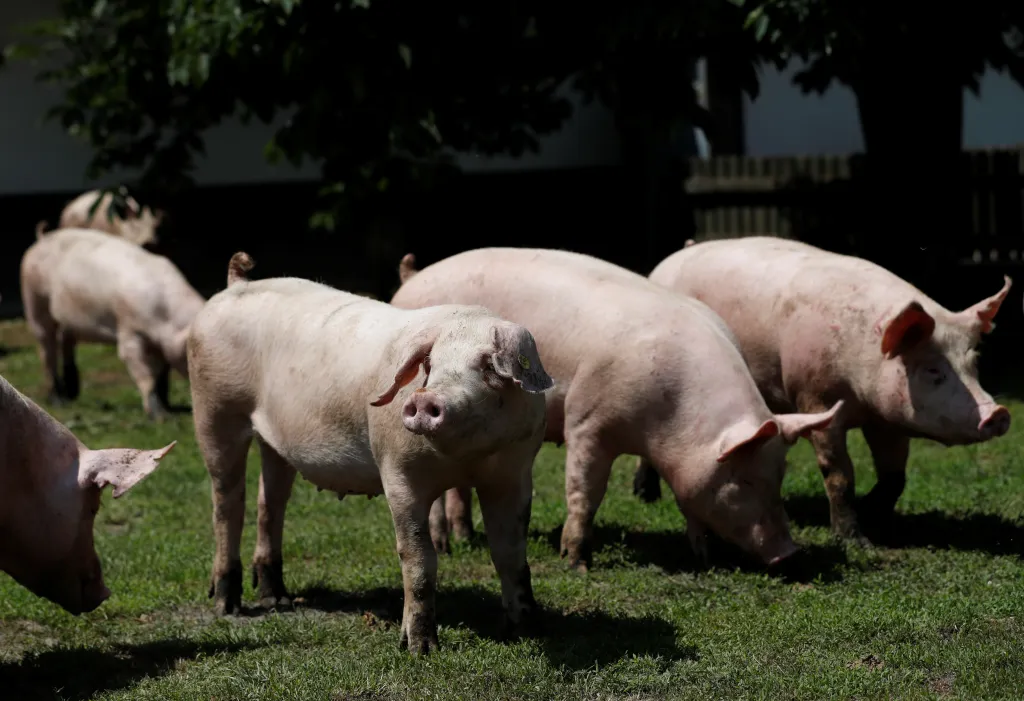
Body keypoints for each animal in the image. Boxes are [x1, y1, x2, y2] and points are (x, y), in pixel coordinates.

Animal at [20, 228, 205, 419]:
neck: (165, 320)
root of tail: (40, 241)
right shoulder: (129, 330)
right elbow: (145, 374)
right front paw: (161, 417)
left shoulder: (161, 345)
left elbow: (162, 374)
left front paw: (169, 408)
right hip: (34, 300)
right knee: (47, 351)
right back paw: (59, 401)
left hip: (65, 318)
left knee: (66, 342)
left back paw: (72, 395)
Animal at [187, 252, 552, 655]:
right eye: (431, 364)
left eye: (488, 366)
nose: (425, 398)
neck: (466, 460)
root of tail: (235, 284)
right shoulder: (397, 472)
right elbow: (418, 559)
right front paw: (419, 649)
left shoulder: (515, 475)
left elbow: (510, 553)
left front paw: (528, 629)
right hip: (214, 411)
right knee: (227, 504)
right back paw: (228, 605)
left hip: (274, 441)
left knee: (271, 503)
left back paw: (277, 598)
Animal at [391, 248, 843, 570]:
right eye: (744, 479)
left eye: (780, 475)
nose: (788, 553)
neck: (667, 422)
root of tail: (411, 280)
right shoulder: (587, 421)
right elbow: (585, 491)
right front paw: (576, 562)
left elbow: (688, 501)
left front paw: (703, 555)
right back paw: (447, 546)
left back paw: (465, 537)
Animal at [637, 236, 1012, 543]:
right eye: (933, 370)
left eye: (975, 362)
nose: (998, 413)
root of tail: (678, 254)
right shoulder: (815, 398)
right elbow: (839, 473)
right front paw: (855, 542)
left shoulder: (886, 418)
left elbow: (895, 475)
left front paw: (873, 513)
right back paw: (645, 497)